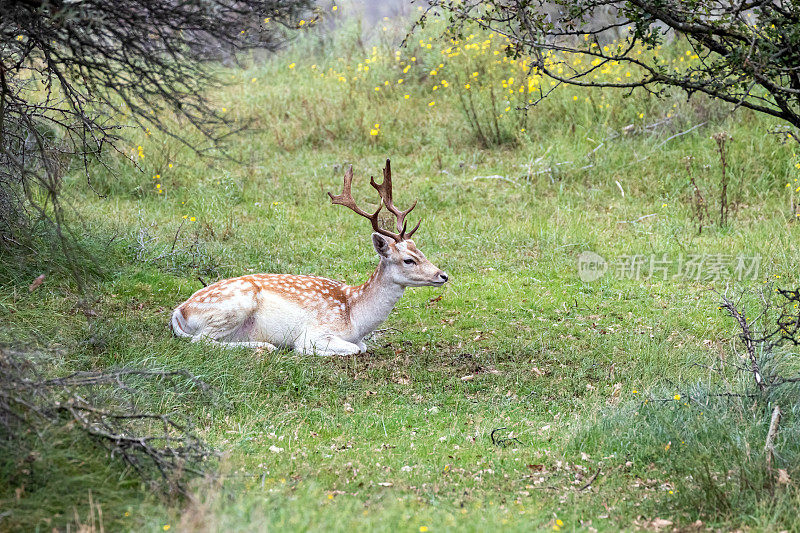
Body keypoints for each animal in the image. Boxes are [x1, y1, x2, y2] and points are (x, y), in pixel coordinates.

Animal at [171, 160, 446, 356]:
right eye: (408, 260)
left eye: (420, 250)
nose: (442, 275)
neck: (355, 319)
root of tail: (180, 312)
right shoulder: (313, 334)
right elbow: (355, 349)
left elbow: (363, 346)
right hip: (234, 305)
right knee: (201, 340)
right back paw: (266, 346)